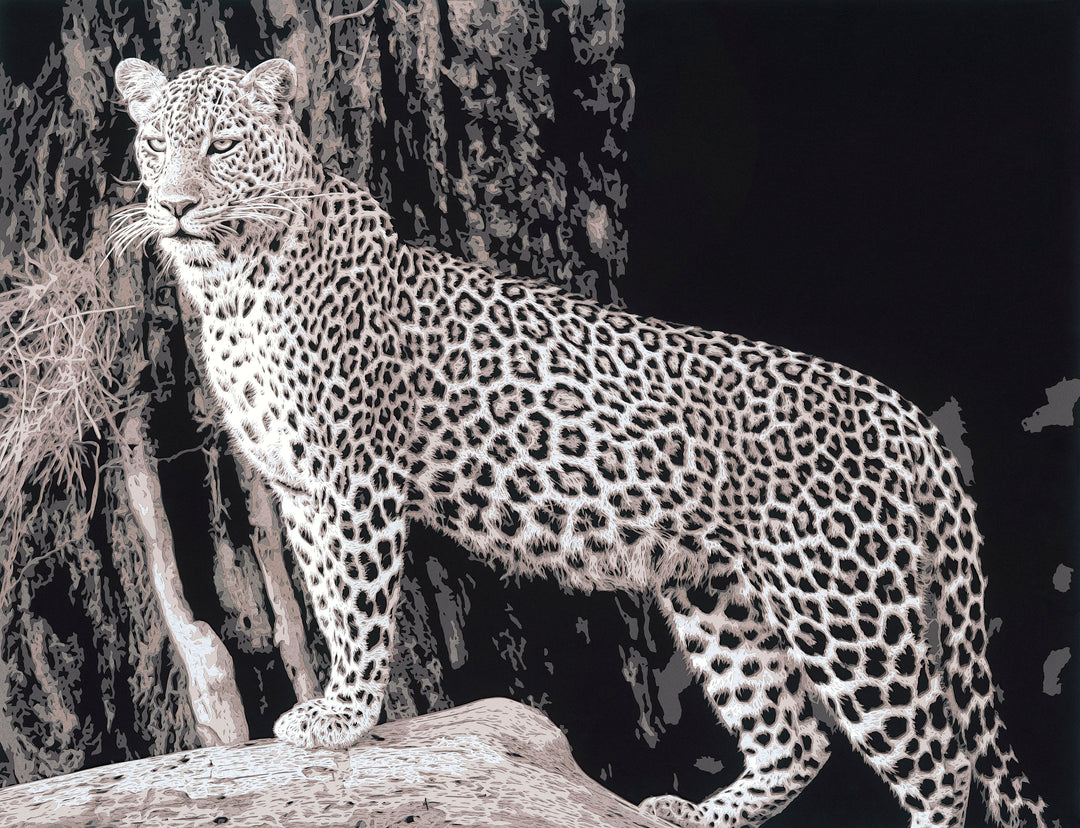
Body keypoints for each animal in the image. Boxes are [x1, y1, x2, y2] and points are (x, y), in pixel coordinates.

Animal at [112, 58, 1053, 828]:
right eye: (155, 146)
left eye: (223, 145)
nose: (176, 206)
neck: (228, 283)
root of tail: (902, 410)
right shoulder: (301, 489)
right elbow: (327, 600)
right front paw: (335, 704)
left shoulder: (355, 478)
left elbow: (360, 604)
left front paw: (344, 715)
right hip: (716, 591)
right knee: (795, 739)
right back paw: (694, 814)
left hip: (847, 605)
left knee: (940, 762)